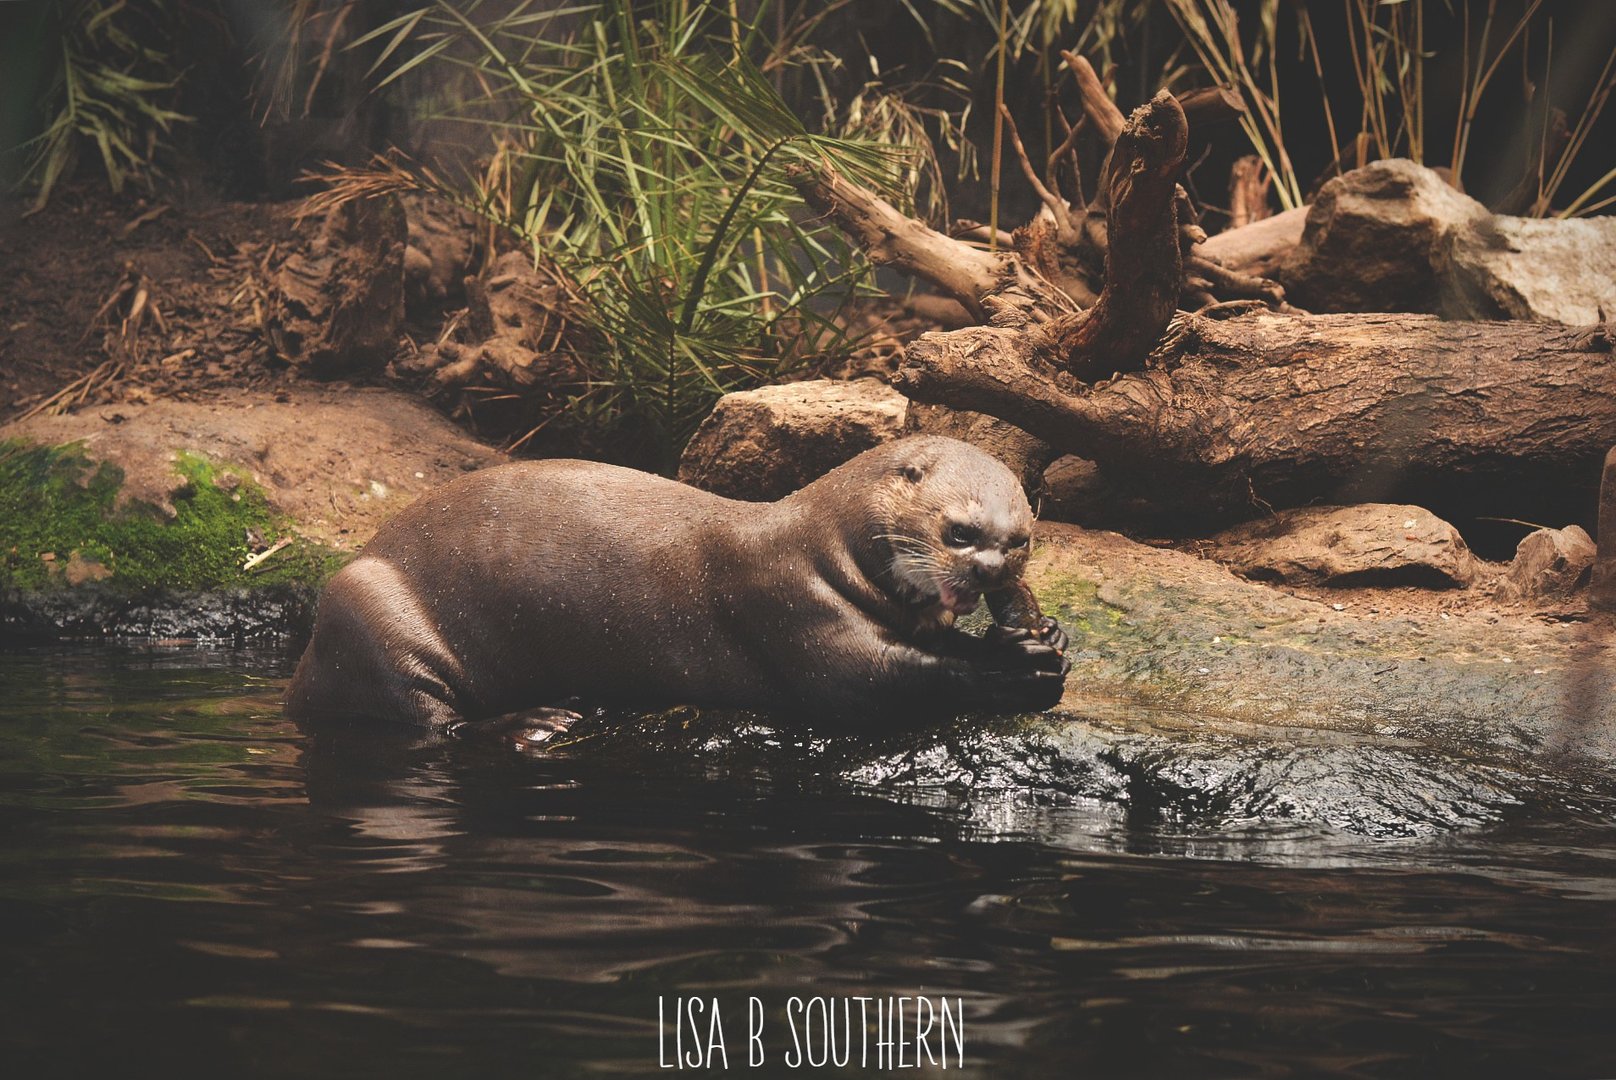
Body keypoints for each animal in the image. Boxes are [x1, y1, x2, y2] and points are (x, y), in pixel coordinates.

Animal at [286, 436, 1069, 736]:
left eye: (1021, 539)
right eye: (960, 532)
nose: (992, 572)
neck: (825, 547)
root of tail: (303, 670)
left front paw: (1041, 630)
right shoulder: (794, 607)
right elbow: (885, 677)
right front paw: (1015, 663)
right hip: (371, 610)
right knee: (429, 718)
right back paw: (536, 722)